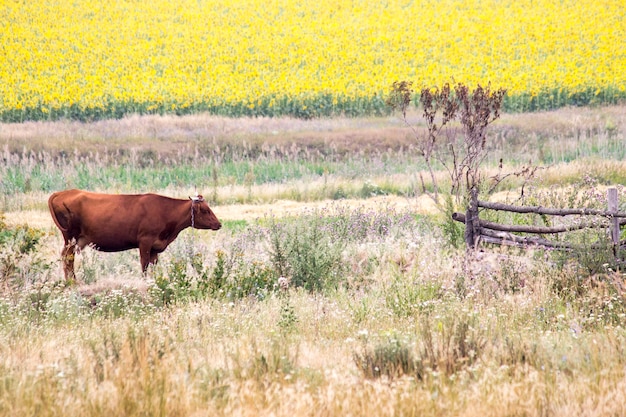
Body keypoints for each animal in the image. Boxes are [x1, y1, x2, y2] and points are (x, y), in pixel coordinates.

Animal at [47, 189, 221, 282]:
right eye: (205, 210)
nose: (219, 224)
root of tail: (62, 193)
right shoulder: (145, 242)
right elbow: (144, 265)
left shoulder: (156, 247)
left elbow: (153, 265)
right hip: (70, 237)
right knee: (67, 257)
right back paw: (73, 281)